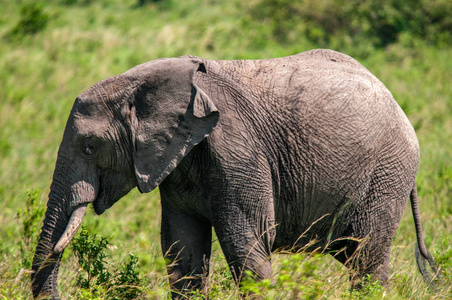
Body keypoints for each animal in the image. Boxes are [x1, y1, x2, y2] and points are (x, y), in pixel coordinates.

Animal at [29, 48, 438, 298]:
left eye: (88, 147)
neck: (143, 81)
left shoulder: (237, 151)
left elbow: (248, 242)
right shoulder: (177, 162)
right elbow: (183, 248)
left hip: (387, 173)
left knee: (366, 258)